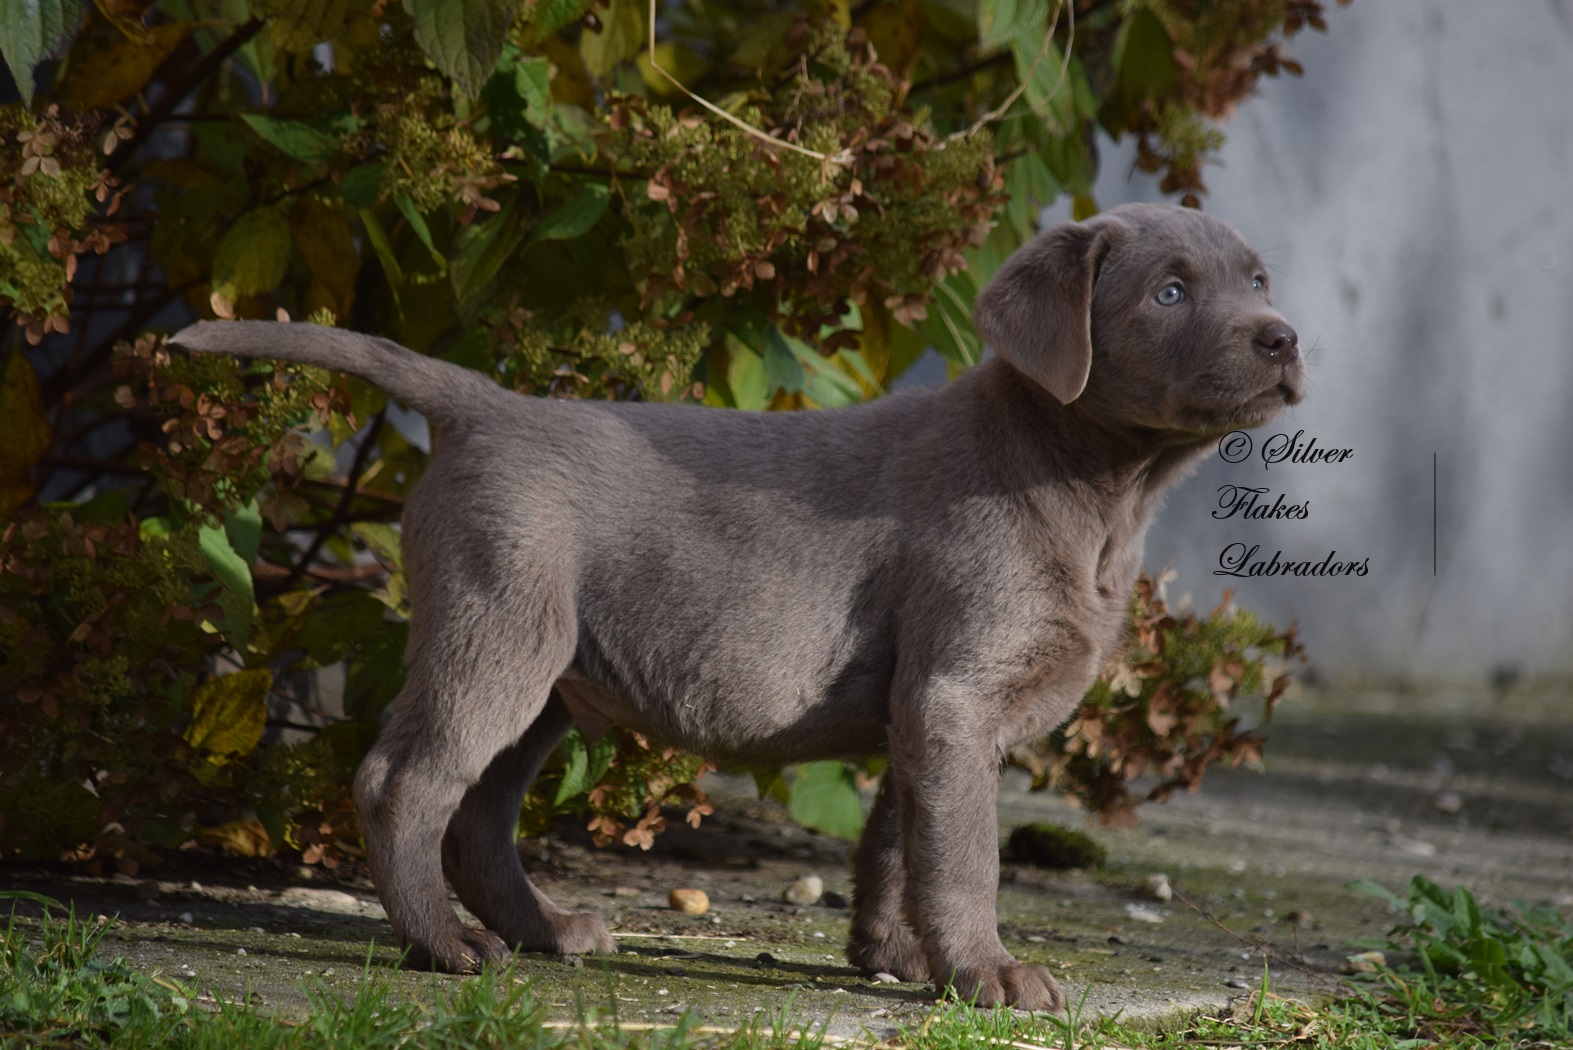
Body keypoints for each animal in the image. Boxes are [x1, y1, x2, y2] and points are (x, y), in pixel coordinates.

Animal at [169, 201, 1302, 1012]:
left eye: (1256, 279)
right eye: (1167, 291)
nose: (1284, 339)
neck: (1093, 487)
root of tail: (486, 405)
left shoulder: (920, 706)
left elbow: (897, 840)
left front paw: (893, 957)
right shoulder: (955, 691)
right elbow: (962, 853)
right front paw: (986, 975)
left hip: (548, 667)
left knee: (480, 813)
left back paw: (543, 931)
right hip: (497, 631)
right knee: (405, 784)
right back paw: (444, 947)